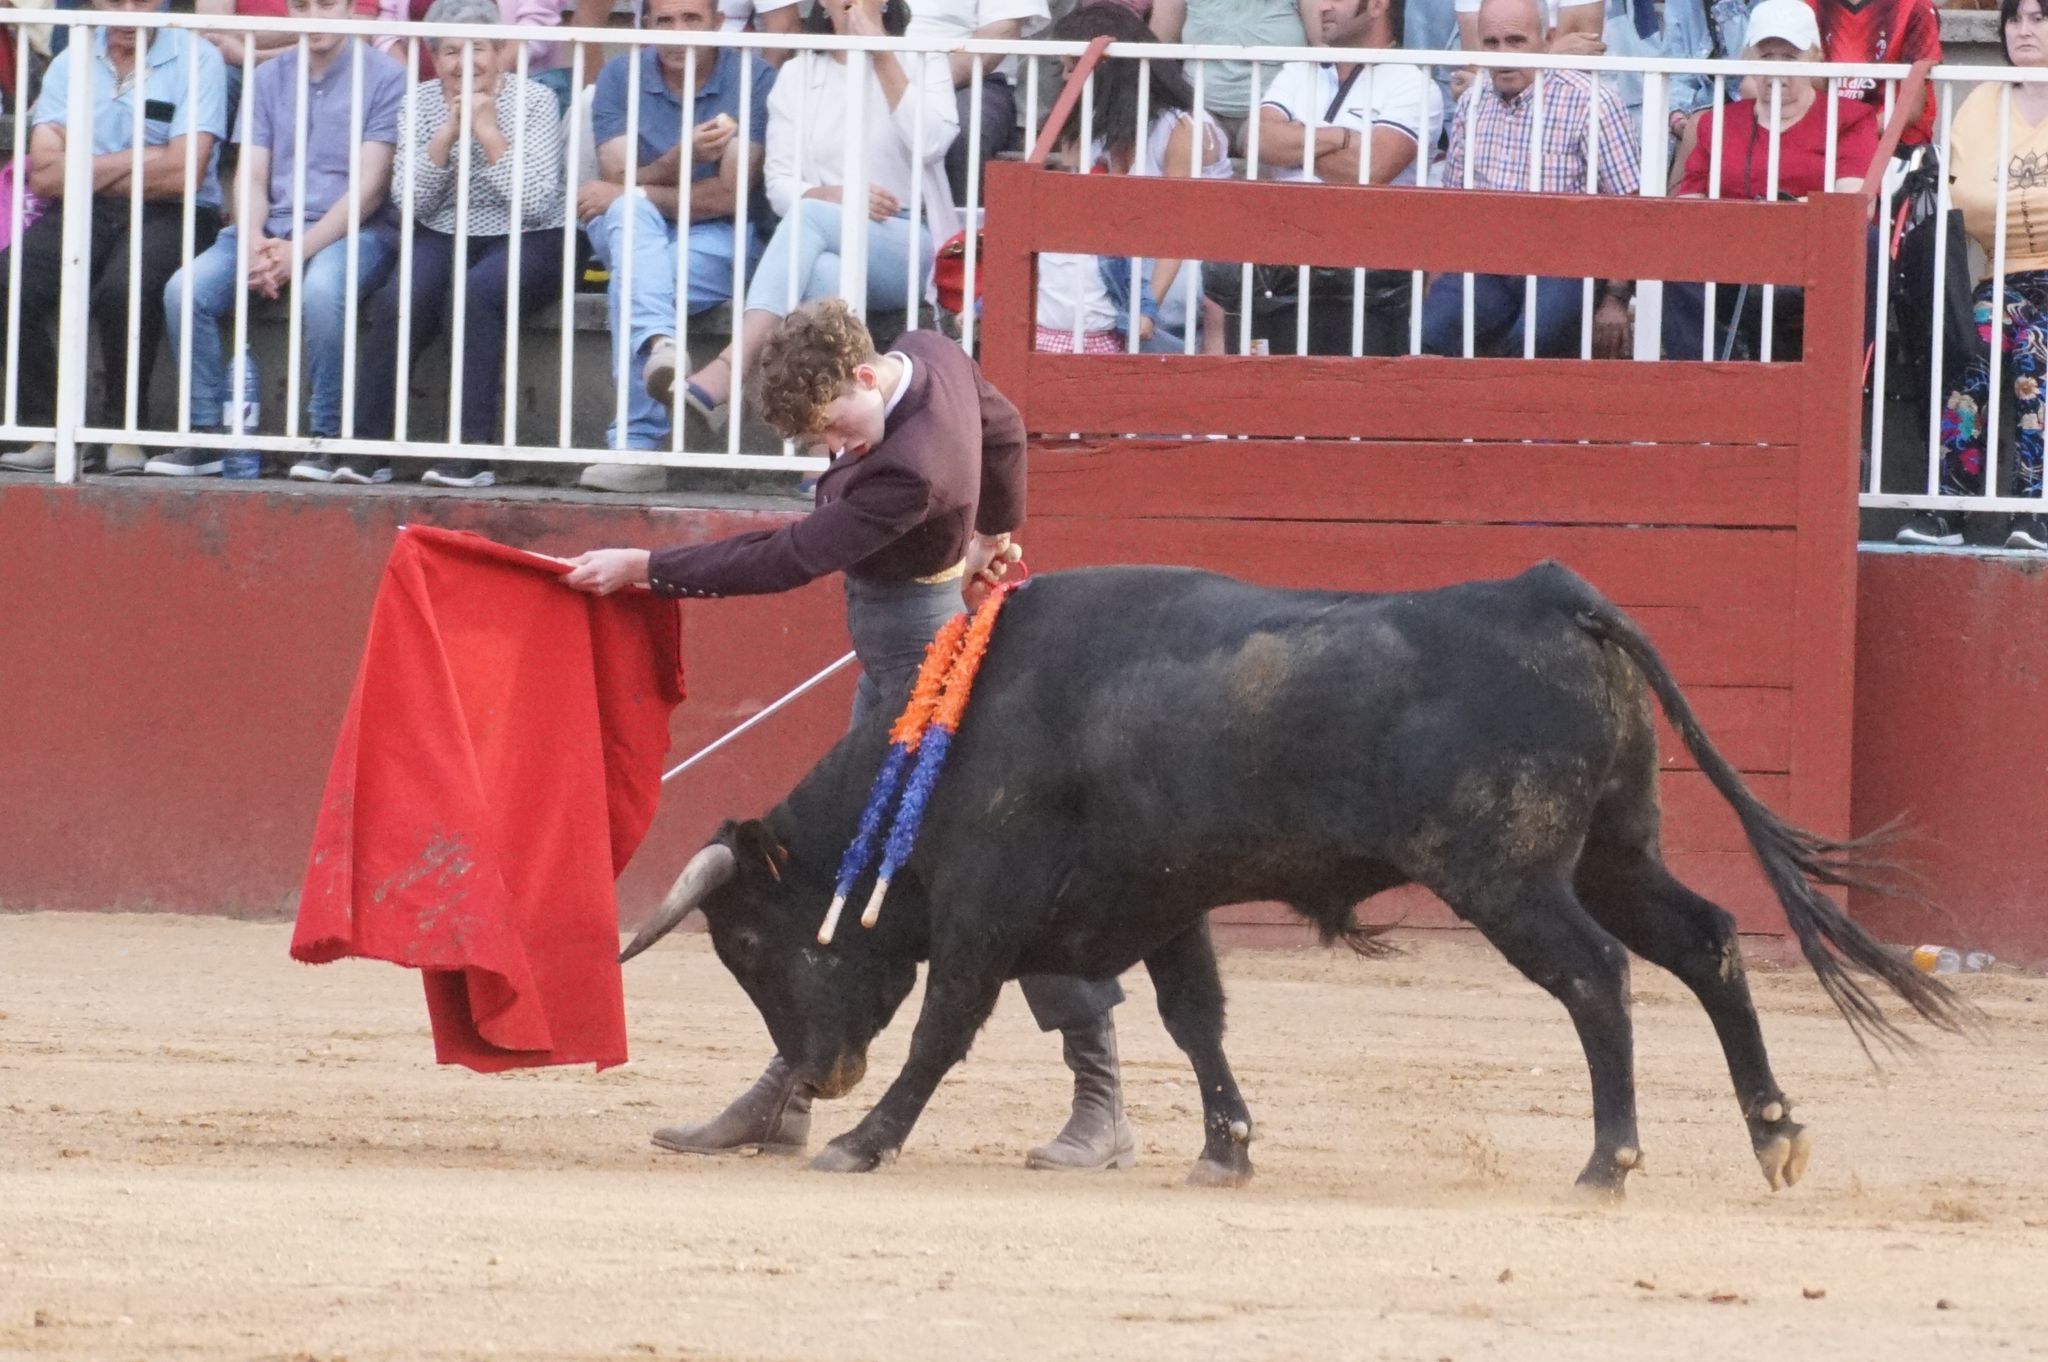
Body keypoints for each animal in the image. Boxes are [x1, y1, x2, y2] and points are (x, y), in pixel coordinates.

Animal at [614, 561, 1957, 1187]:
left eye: (748, 944)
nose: (819, 1078)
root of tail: (1549, 593)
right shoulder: (1162, 899)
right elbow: (1194, 1018)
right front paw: (1227, 1148)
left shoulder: (988, 908)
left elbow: (946, 1026)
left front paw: (864, 1140)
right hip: (1618, 853)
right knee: (1707, 941)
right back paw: (1772, 1134)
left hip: (1510, 880)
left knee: (1596, 979)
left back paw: (1605, 1161)